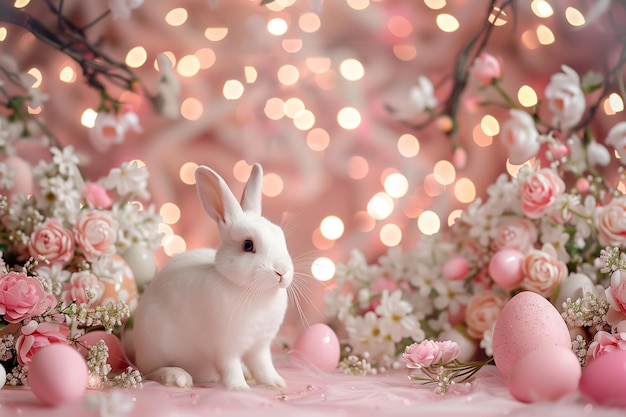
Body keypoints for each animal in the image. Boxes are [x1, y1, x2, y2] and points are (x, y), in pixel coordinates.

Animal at [132, 163, 292, 390]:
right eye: (248, 245)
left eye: (281, 236)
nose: (282, 272)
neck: (254, 292)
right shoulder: (226, 347)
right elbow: (230, 367)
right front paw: (239, 388)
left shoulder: (260, 346)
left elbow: (264, 366)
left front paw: (277, 384)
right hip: (154, 345)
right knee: (149, 371)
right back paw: (177, 377)